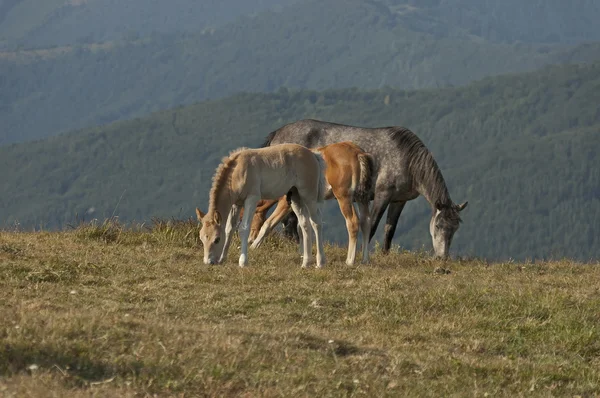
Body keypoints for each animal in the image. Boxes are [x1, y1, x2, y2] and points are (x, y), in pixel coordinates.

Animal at [196, 143, 328, 268]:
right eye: (201, 238)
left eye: (217, 239)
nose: (209, 262)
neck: (238, 171)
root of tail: (313, 155)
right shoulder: (236, 204)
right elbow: (229, 228)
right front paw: (223, 259)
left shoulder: (252, 199)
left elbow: (244, 228)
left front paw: (243, 262)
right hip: (295, 197)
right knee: (304, 224)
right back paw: (305, 263)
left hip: (308, 195)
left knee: (316, 223)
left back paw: (320, 262)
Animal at [248, 141, 376, 266]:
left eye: (253, 212)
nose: (249, 238)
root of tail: (358, 153)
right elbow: (301, 227)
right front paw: (302, 254)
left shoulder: (286, 202)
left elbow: (268, 224)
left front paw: (253, 247)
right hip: (362, 198)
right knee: (366, 221)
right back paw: (365, 260)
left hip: (343, 197)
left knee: (353, 222)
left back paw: (350, 261)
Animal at [262, 118, 468, 258]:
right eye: (438, 225)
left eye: (455, 228)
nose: (442, 257)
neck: (407, 159)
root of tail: (277, 133)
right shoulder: (382, 196)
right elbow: (372, 225)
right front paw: (362, 252)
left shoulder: (399, 200)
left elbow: (390, 229)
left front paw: (385, 254)